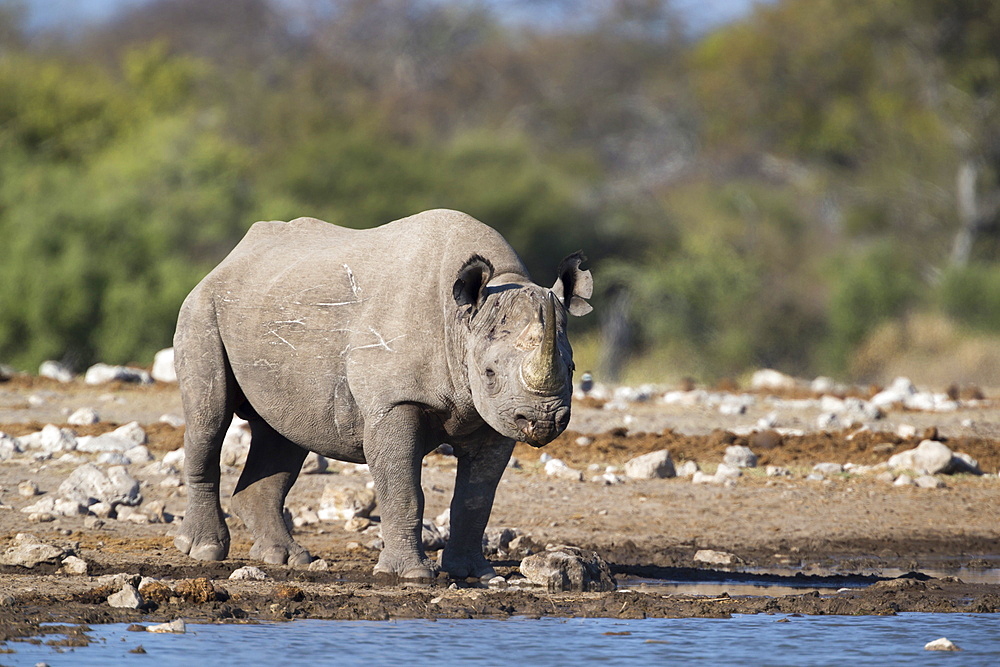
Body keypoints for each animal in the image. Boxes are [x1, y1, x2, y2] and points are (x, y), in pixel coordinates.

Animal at [172, 209, 588, 580]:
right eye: (489, 373)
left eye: (570, 370)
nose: (543, 420)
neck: (462, 322)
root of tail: (228, 260)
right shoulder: (394, 401)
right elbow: (404, 489)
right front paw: (412, 576)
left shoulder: (495, 418)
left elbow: (476, 498)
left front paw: (475, 574)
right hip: (203, 308)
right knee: (209, 419)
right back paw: (205, 551)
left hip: (271, 308)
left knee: (283, 433)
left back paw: (287, 558)